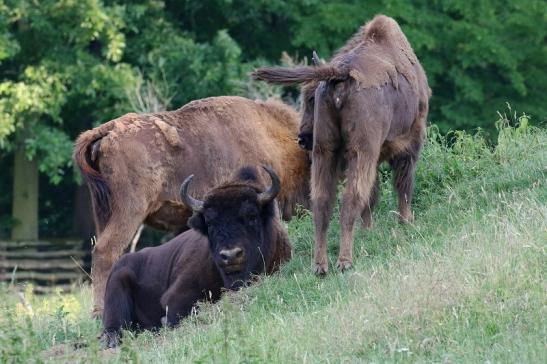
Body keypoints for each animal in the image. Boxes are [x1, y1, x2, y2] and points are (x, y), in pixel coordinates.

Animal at [74, 96, 310, 316]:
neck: (270, 134)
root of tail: (107, 131)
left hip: (102, 212)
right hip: (130, 210)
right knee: (105, 251)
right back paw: (100, 311)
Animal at [100, 166, 294, 348]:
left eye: (252, 216)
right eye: (210, 223)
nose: (230, 255)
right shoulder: (176, 296)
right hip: (118, 283)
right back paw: (110, 339)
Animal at [250, 15, 430, 274]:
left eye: (310, 99)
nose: (303, 137)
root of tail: (340, 73)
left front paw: (369, 230)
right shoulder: (406, 146)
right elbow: (402, 186)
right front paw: (406, 222)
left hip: (324, 152)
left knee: (322, 202)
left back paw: (320, 265)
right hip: (360, 151)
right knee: (350, 199)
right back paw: (345, 261)